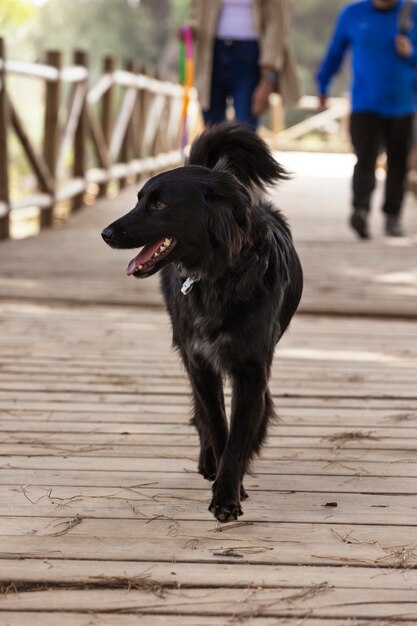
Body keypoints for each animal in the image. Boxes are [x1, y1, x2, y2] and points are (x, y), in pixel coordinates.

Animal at [101, 122, 302, 520]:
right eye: (138, 198)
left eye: (158, 203)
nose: (106, 233)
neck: (219, 278)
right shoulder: (200, 361)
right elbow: (218, 424)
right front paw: (224, 478)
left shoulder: (251, 368)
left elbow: (239, 432)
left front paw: (228, 494)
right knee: (202, 413)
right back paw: (209, 459)